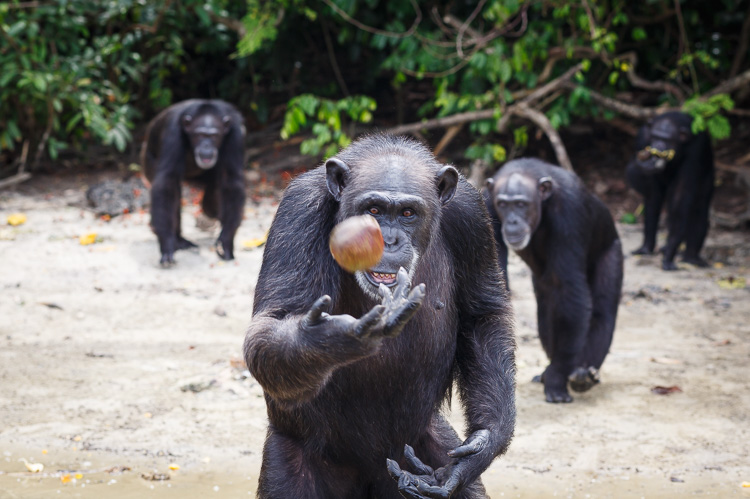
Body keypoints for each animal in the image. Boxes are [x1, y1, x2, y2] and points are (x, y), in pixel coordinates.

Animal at [141, 99, 247, 268]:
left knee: (213, 193)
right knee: (174, 193)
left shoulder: (236, 134)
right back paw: (178, 240)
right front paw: (167, 244)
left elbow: (231, 180)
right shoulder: (172, 132)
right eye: (200, 135)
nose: (206, 145)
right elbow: (166, 182)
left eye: (214, 135)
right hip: (148, 162)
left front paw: (226, 241)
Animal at [245, 135, 516, 498]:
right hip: (293, 455)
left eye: (407, 213)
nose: (387, 238)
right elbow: (273, 320)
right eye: (373, 210)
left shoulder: (471, 214)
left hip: (421, 443)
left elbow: (483, 313)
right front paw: (332, 338)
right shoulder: (298, 211)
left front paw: (479, 449)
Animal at [488, 158, 624, 404]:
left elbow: (570, 290)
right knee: (547, 313)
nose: (512, 220)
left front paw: (557, 377)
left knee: (601, 311)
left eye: (521, 204)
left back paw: (582, 373)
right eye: (503, 204)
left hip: (611, 249)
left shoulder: (570, 213)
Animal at [628, 112, 716, 272]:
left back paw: (691, 257)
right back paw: (647, 248)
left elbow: (680, 197)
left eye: (666, 139)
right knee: (654, 202)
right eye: (655, 136)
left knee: (699, 209)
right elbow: (652, 192)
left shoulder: (696, 151)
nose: (657, 145)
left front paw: (669, 255)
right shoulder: (642, 138)